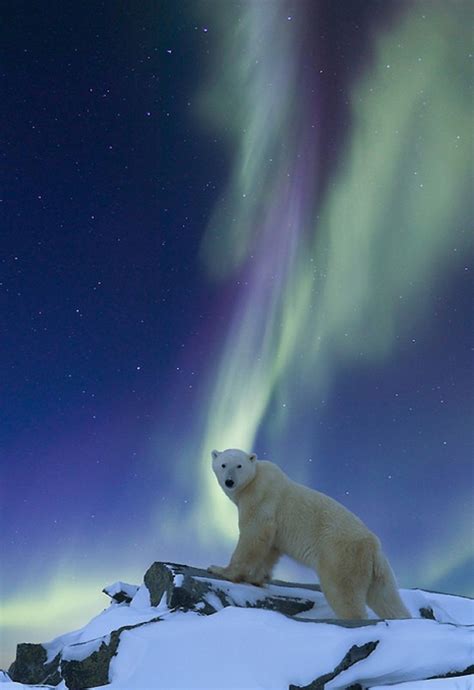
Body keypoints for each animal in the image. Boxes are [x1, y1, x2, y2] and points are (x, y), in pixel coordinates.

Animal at [207, 446, 412, 620]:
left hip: (341, 556)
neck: (254, 480)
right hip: (379, 570)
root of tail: (373, 546)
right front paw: (257, 578)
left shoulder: (261, 499)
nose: (229, 481)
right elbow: (271, 548)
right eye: (223, 464)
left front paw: (221, 570)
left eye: (239, 466)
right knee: (387, 598)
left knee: (342, 593)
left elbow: (253, 536)